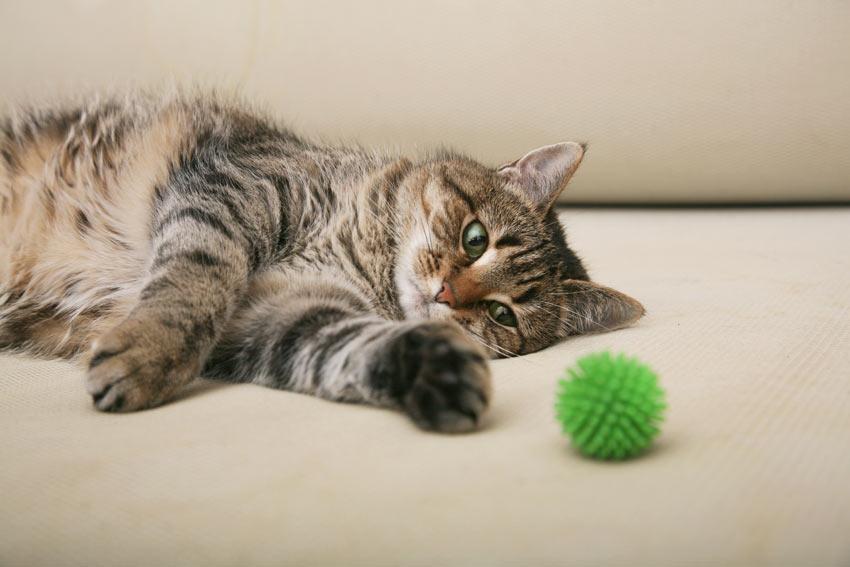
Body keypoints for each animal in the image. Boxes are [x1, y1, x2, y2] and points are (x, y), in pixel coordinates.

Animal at [0, 91, 636, 432]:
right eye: (476, 238)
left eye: (504, 315)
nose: (446, 295)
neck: (362, 254)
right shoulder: (237, 188)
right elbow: (195, 282)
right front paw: (149, 352)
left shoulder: (280, 315)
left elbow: (349, 347)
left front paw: (435, 371)